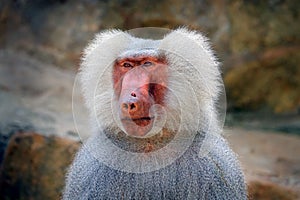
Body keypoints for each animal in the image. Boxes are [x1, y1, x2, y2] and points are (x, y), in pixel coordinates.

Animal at [62, 28, 246, 200]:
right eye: (127, 66)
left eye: (147, 64)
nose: (129, 101)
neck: (150, 143)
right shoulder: (92, 168)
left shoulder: (216, 167)